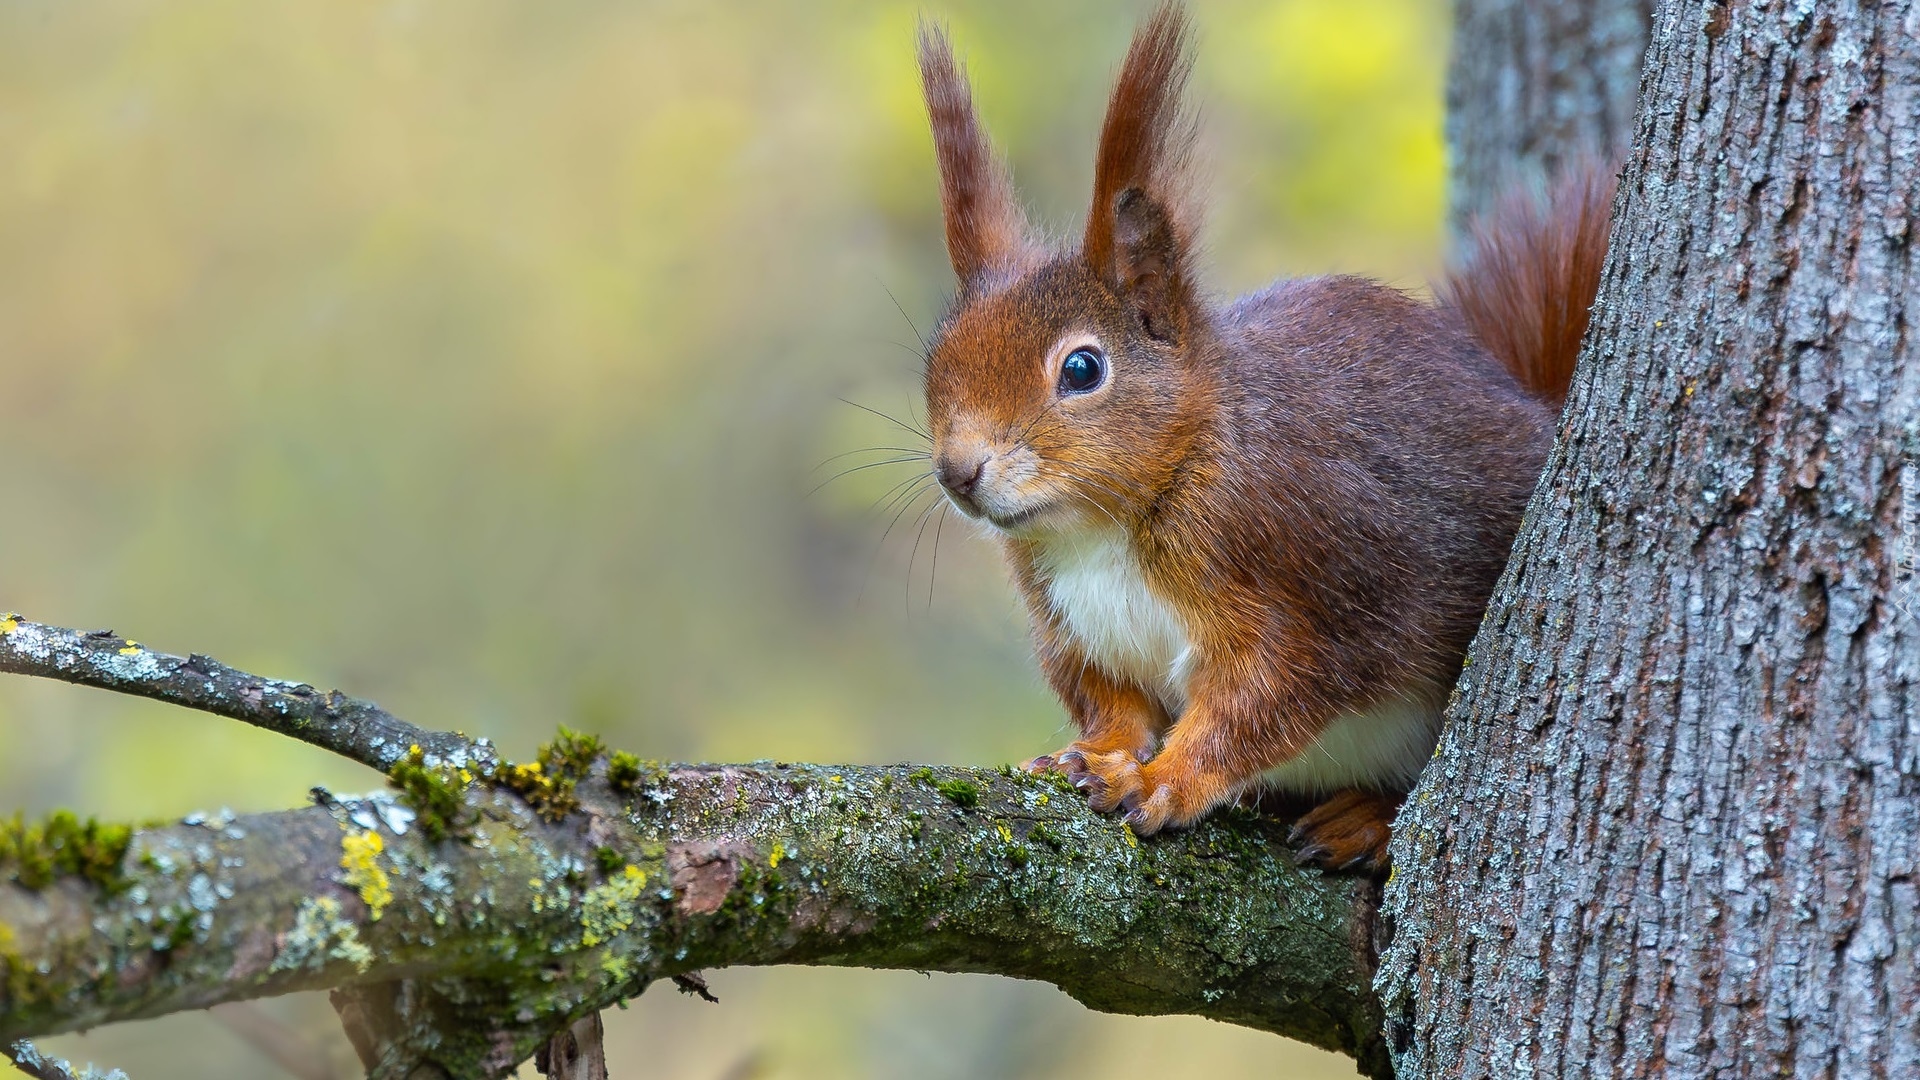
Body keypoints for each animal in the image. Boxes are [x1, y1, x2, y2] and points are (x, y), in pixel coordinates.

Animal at [910, 4, 1605, 864]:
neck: (1105, 525)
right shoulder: (1072, 626)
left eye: (1081, 369)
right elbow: (1112, 700)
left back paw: (1365, 819)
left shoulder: (1311, 578)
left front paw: (1166, 780)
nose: (959, 471)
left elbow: (1264, 702)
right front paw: (1097, 754)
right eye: (936, 359)